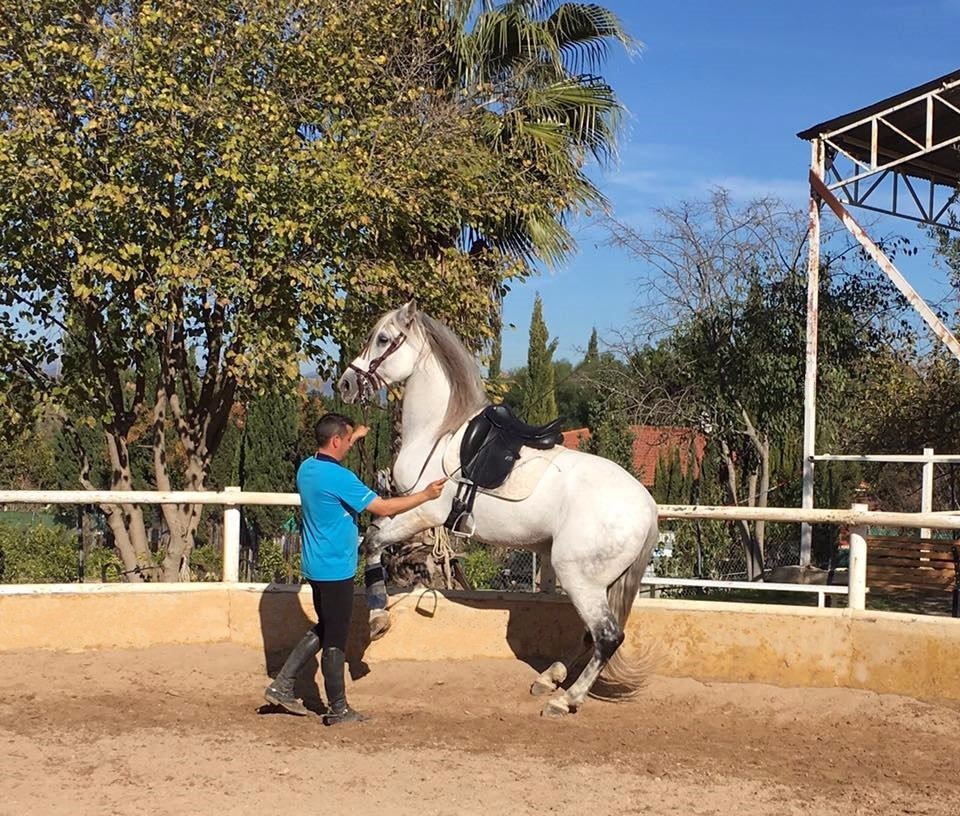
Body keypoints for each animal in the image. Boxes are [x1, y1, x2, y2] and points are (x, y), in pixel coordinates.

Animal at [338, 302, 660, 712]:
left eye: (382, 339)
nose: (346, 384)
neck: (438, 433)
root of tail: (646, 506)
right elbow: (375, 538)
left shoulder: (424, 513)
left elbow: (373, 541)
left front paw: (378, 618)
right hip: (596, 582)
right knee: (591, 635)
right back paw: (549, 678)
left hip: (579, 577)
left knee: (607, 636)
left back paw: (565, 699)